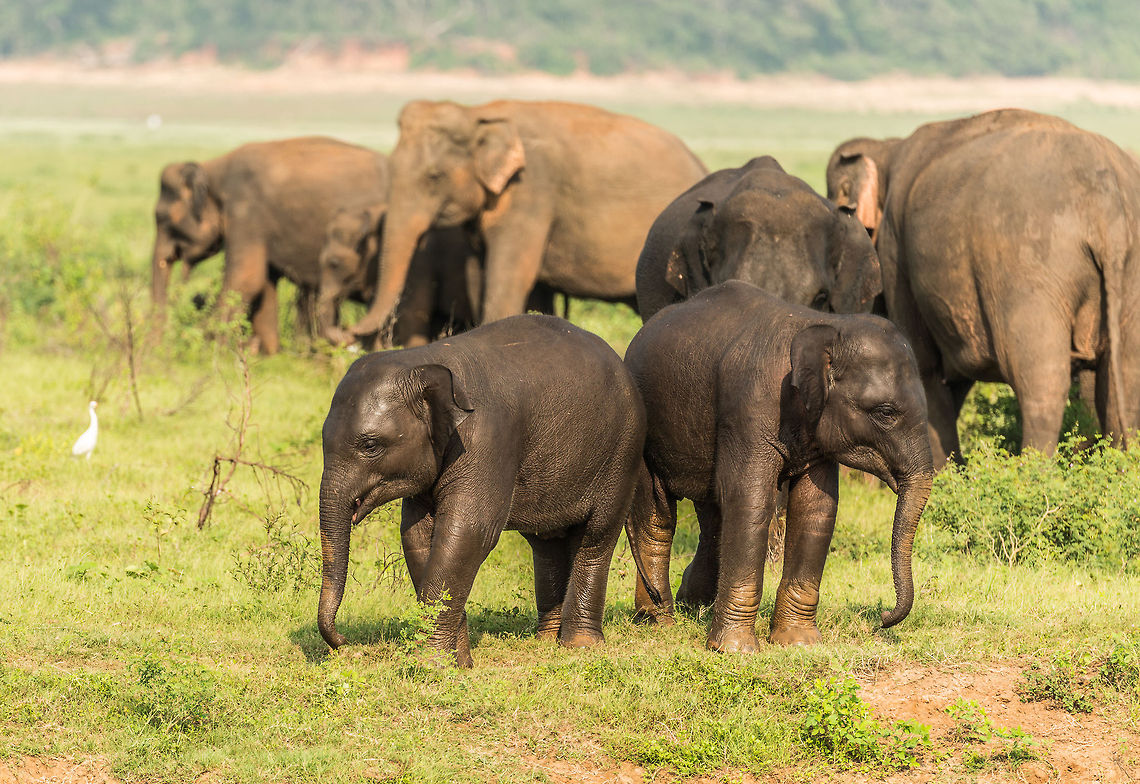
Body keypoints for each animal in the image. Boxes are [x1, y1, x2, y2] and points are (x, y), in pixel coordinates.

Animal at [151, 136, 388, 354]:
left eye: (162, 218)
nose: (160, 351)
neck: (213, 168)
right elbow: (264, 283)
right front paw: (269, 354)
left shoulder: (245, 213)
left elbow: (246, 279)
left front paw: (202, 351)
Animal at [317, 314, 647, 667]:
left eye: (370, 445)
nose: (344, 642)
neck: (426, 360)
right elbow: (417, 536)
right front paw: (458, 664)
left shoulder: (487, 439)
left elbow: (469, 533)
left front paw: (430, 665)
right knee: (547, 543)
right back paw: (546, 640)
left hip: (622, 454)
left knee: (597, 536)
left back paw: (580, 646)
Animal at [346, 99, 708, 344]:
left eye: (434, 177)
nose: (349, 332)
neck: (477, 113)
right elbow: (500, 282)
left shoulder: (531, 189)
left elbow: (511, 277)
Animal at [625, 281, 934, 653]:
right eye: (886, 413)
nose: (883, 619)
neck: (824, 326)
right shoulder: (749, 406)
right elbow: (751, 501)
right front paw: (734, 650)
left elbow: (816, 508)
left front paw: (799, 643)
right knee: (657, 516)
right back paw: (657, 620)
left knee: (711, 514)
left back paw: (692, 605)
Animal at [826, 109, 1140, 463]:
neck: (887, 148)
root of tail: (1108, 210)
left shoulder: (897, 252)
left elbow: (924, 364)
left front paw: (945, 473)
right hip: (1128, 274)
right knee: (1124, 377)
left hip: (1031, 274)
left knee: (1041, 380)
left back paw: (1032, 469)